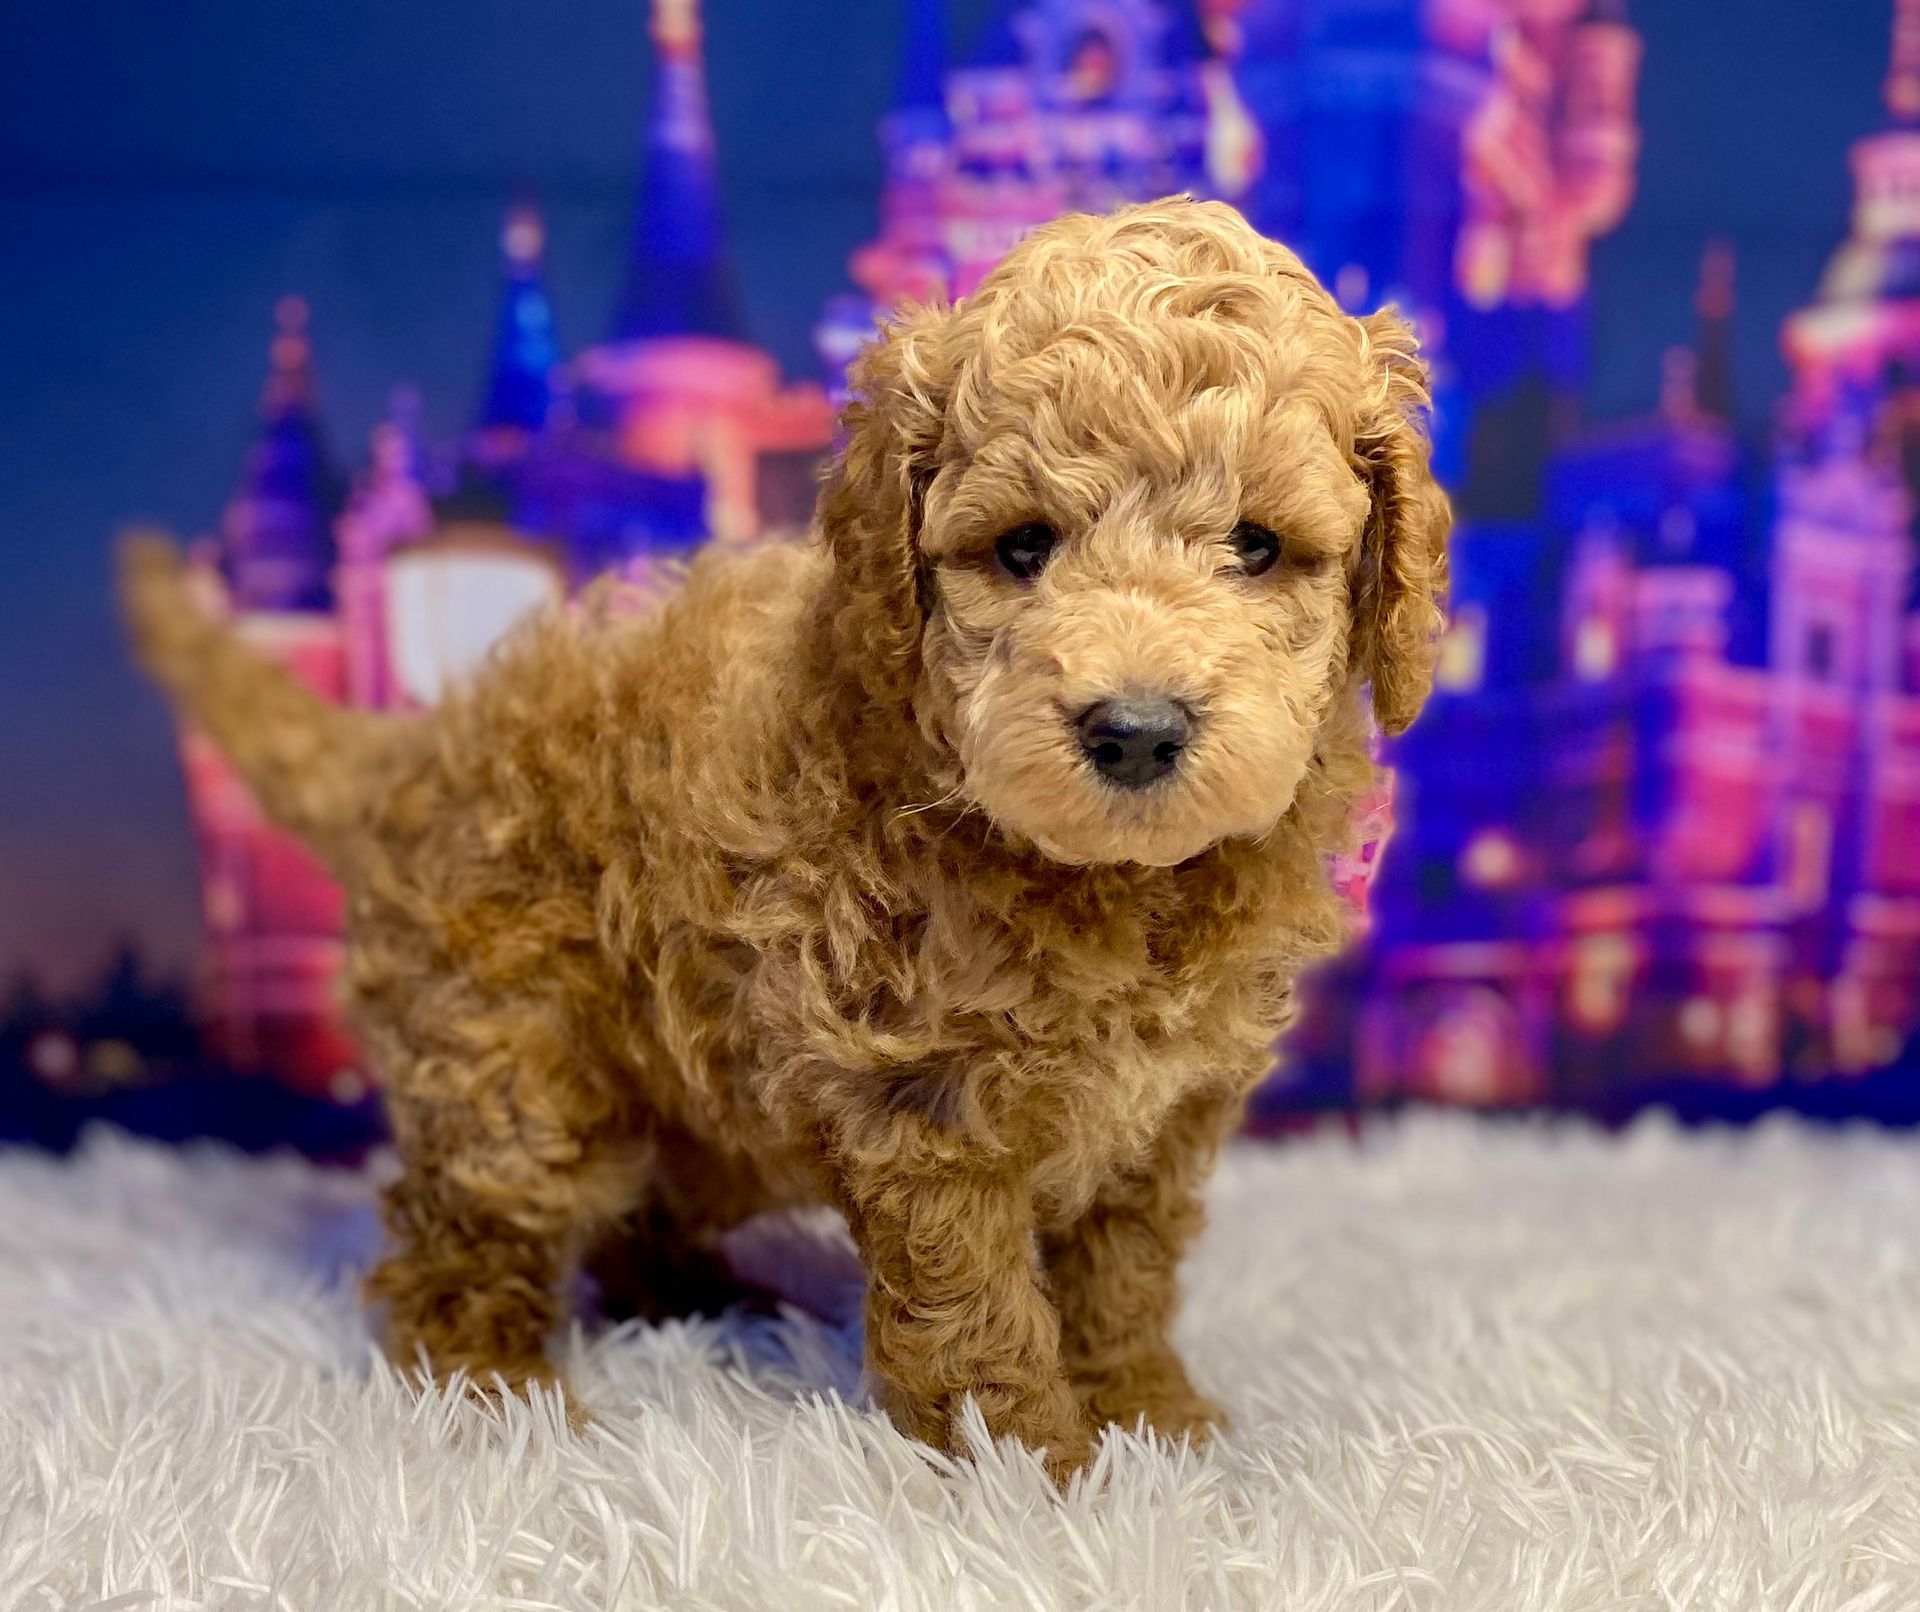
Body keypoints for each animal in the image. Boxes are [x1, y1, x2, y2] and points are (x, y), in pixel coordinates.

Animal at [120, 194, 1443, 1481]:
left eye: (1257, 546)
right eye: (1022, 547)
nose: (1133, 730)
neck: (1111, 879)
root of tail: (415, 749)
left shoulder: (1164, 1114)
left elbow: (1125, 1272)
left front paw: (1152, 1421)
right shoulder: (921, 1095)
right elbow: (976, 1303)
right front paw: (1031, 1467)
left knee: (642, 1216)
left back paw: (717, 1300)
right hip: (512, 1060)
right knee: (456, 1241)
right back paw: (503, 1398)